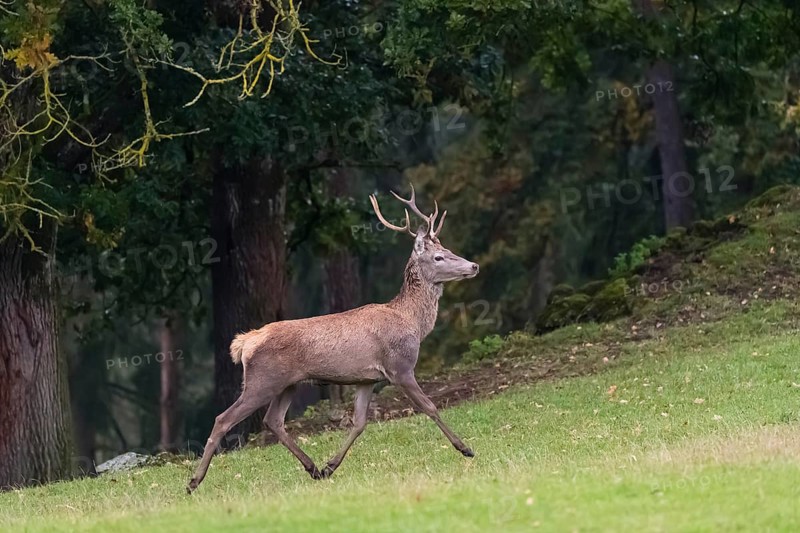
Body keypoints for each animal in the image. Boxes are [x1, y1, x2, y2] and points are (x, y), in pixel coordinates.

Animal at [187, 185, 479, 493]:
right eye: (438, 257)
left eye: (448, 250)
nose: (473, 265)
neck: (412, 322)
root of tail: (244, 343)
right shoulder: (399, 367)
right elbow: (430, 406)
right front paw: (465, 448)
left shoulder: (367, 379)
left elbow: (359, 422)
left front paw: (330, 465)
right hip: (262, 381)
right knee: (223, 418)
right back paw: (194, 482)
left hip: (288, 384)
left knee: (272, 420)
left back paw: (313, 468)